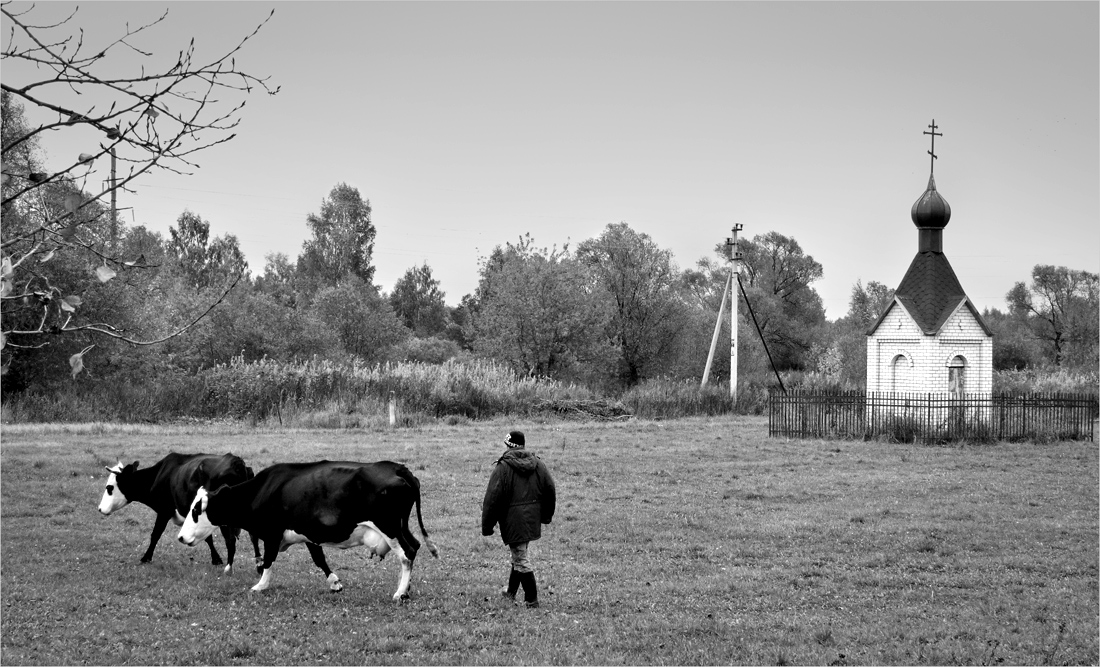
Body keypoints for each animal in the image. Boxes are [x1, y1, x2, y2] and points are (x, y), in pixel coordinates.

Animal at [97, 455, 260, 576]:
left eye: (109, 488)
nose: (99, 509)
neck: (160, 475)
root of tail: (236, 462)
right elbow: (208, 538)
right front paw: (216, 559)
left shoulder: (164, 511)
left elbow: (155, 534)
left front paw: (146, 557)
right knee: (253, 537)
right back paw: (258, 566)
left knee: (230, 540)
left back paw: (229, 569)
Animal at [179, 460, 437, 603]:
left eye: (195, 510)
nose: (180, 537)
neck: (263, 490)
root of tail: (397, 467)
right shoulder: (310, 534)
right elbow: (319, 559)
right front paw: (335, 583)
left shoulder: (272, 533)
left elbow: (268, 561)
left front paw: (260, 585)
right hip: (401, 526)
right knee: (415, 546)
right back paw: (407, 588)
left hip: (390, 527)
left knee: (406, 554)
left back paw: (400, 593)